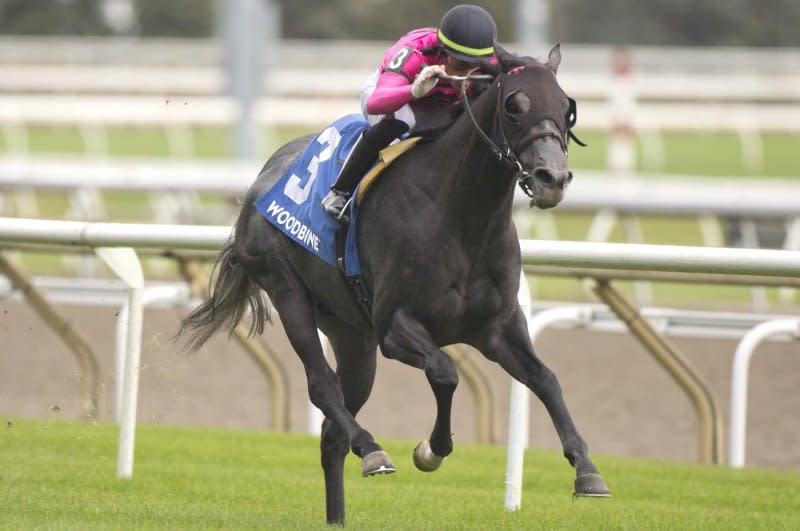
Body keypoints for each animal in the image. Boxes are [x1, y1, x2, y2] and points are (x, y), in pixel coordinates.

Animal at [180, 43, 608, 524]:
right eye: (514, 105)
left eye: (567, 108)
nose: (552, 178)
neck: (462, 216)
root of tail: (261, 180)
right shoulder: (395, 326)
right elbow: (445, 371)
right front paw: (431, 449)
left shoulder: (497, 327)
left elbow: (546, 379)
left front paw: (587, 470)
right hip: (288, 291)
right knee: (321, 385)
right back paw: (371, 449)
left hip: (352, 336)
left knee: (332, 431)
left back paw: (339, 515)